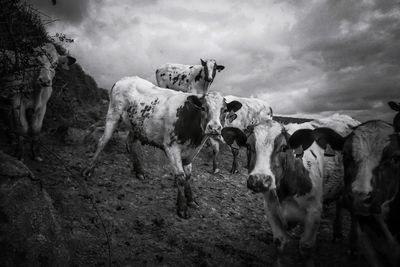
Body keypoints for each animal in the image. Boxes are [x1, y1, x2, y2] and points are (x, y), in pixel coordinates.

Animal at [81, 76, 241, 219]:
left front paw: (191, 200)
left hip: (136, 125)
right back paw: (88, 169)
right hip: (113, 115)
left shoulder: (190, 152)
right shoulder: (171, 148)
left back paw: (139, 171)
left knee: (130, 143)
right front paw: (182, 208)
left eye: (224, 110)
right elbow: (181, 177)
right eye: (203, 107)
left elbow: (188, 176)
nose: (214, 128)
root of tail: (124, 79)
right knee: (103, 141)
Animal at [220, 120, 346, 266]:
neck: (284, 193)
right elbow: (279, 242)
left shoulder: (314, 212)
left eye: (284, 148)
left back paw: (337, 232)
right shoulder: (271, 209)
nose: (259, 180)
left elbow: (306, 246)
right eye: (248, 146)